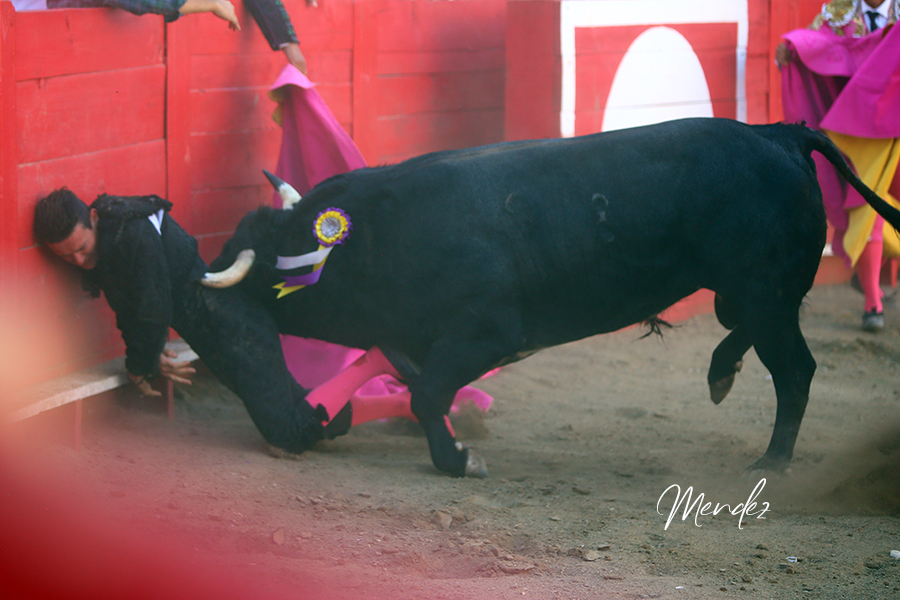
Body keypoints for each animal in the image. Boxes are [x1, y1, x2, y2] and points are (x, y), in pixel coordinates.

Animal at [207, 118, 900, 478]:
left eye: (262, 261)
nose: (202, 273)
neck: (377, 236)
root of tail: (779, 132)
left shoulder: (485, 333)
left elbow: (428, 395)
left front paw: (460, 462)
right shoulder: (418, 341)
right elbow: (418, 389)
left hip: (765, 292)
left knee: (795, 370)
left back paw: (772, 461)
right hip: (750, 295)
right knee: (752, 340)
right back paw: (721, 375)